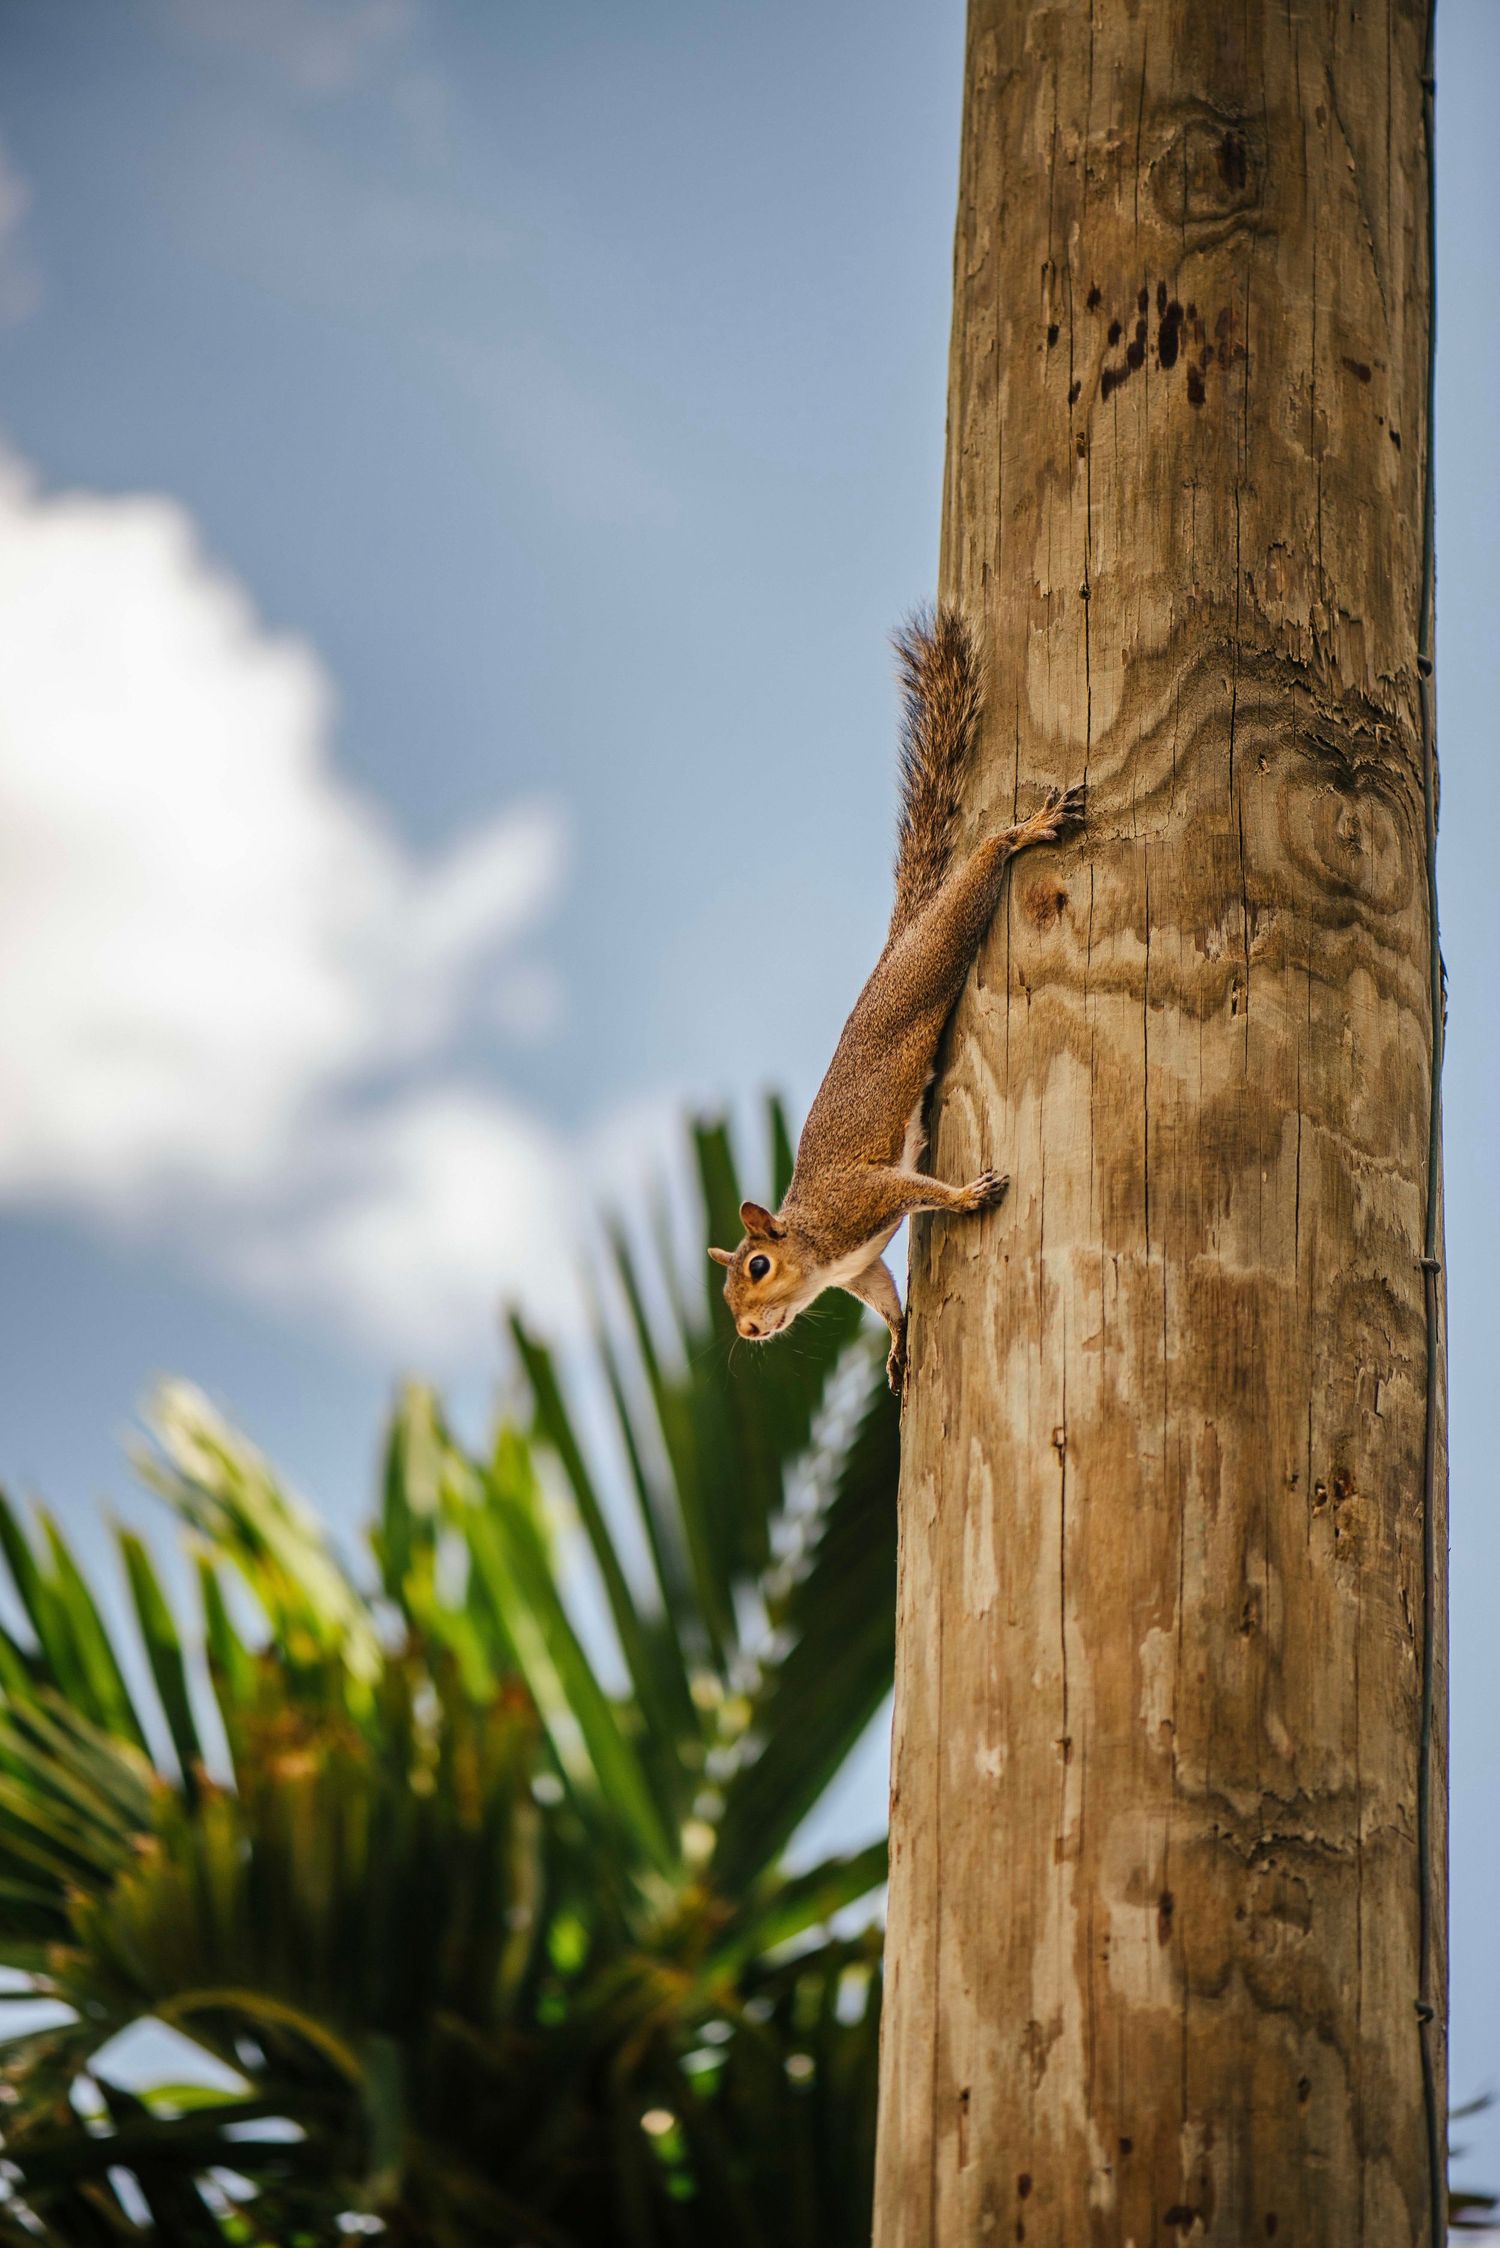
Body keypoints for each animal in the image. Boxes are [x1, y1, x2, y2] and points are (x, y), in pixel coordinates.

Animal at [709, 606, 1084, 1395]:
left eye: (757, 1266)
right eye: (728, 1292)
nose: (751, 1331)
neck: (815, 1244)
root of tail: (895, 945)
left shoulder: (868, 1197)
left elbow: (921, 1191)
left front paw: (968, 1197)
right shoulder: (862, 1268)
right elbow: (883, 1296)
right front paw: (898, 1341)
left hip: (934, 954)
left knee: (977, 876)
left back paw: (1023, 832)